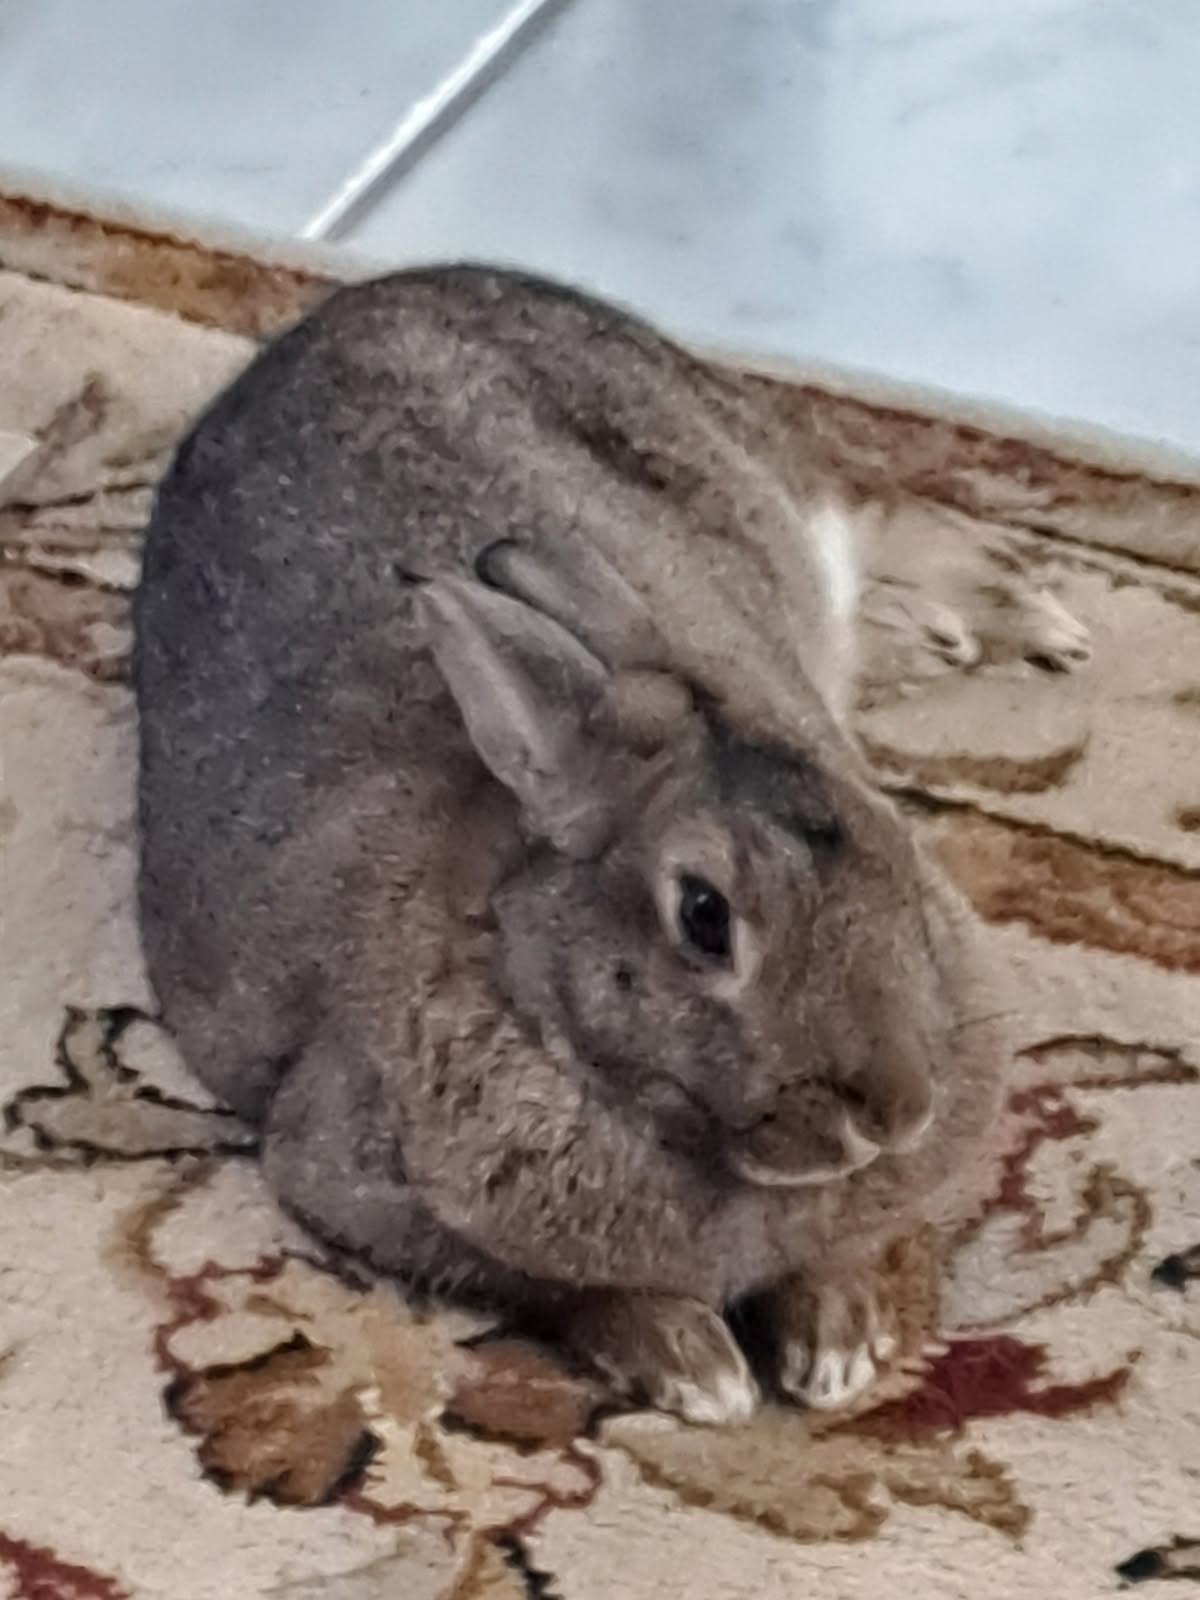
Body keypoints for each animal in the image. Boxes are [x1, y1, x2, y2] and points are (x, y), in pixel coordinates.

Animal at [134, 264, 1009, 1425]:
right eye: (704, 916)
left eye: (899, 849)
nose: (900, 1110)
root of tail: (365, 299)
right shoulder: (349, 1175)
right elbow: (556, 1287)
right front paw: (697, 1370)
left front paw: (837, 1348)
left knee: (878, 507)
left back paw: (1011, 616)